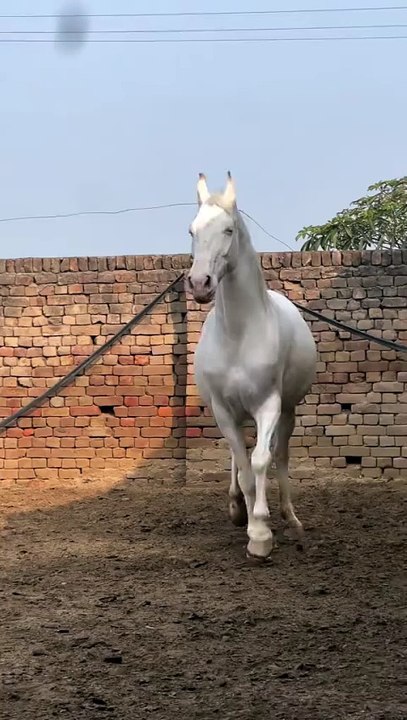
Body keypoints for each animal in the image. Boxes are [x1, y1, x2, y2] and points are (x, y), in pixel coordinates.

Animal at [186, 172, 317, 561]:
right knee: (238, 455)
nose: (199, 284)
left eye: (228, 229)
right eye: (191, 230)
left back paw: (290, 518)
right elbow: (243, 466)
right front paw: (248, 520)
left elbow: (261, 460)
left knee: (279, 456)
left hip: (287, 411)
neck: (239, 335)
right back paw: (236, 507)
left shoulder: (268, 405)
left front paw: (261, 532)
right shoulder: (223, 410)